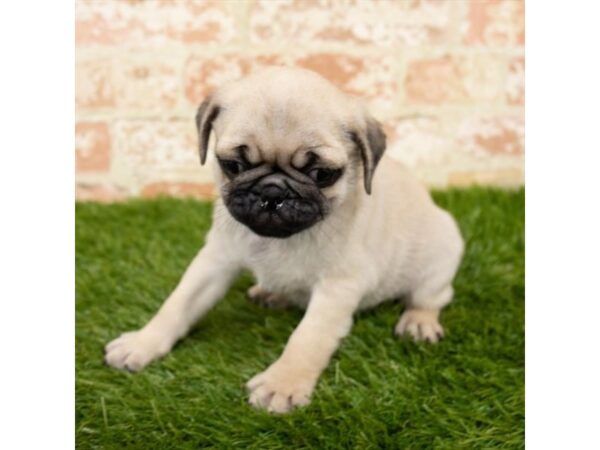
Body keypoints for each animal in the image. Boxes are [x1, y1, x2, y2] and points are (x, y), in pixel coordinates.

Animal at [104, 67, 464, 414]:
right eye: (233, 165)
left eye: (322, 174)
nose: (273, 192)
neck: (279, 241)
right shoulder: (215, 260)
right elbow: (177, 304)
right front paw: (144, 342)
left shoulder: (338, 287)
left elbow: (307, 338)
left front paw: (283, 384)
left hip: (441, 253)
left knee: (432, 297)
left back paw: (418, 322)